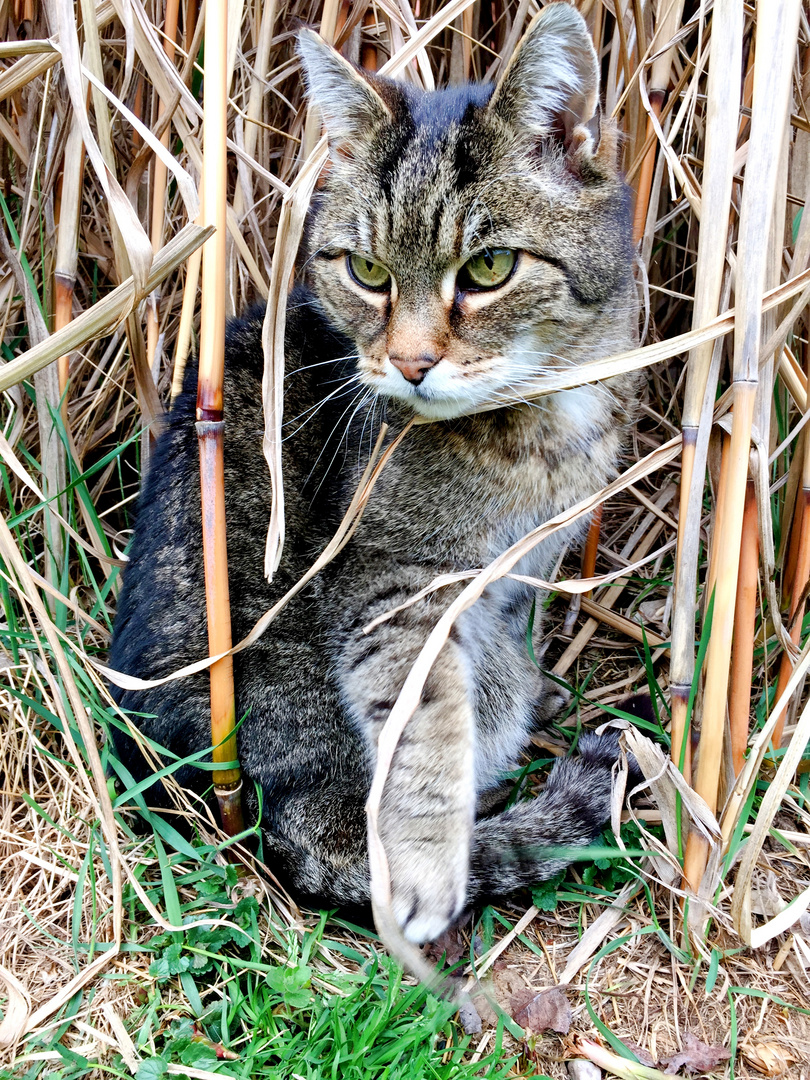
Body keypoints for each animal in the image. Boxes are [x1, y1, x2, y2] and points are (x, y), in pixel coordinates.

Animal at [111, 2, 639, 946]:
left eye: (489, 269)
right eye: (367, 272)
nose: (411, 363)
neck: (550, 417)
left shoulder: (525, 567)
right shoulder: (393, 582)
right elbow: (422, 717)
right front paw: (430, 859)